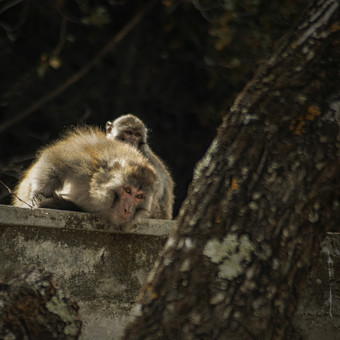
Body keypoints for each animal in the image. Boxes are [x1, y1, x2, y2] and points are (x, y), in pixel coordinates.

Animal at [11, 125, 158, 226]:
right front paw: (38, 194)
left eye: (139, 196)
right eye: (127, 190)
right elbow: (54, 160)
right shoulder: (86, 161)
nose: (127, 210)